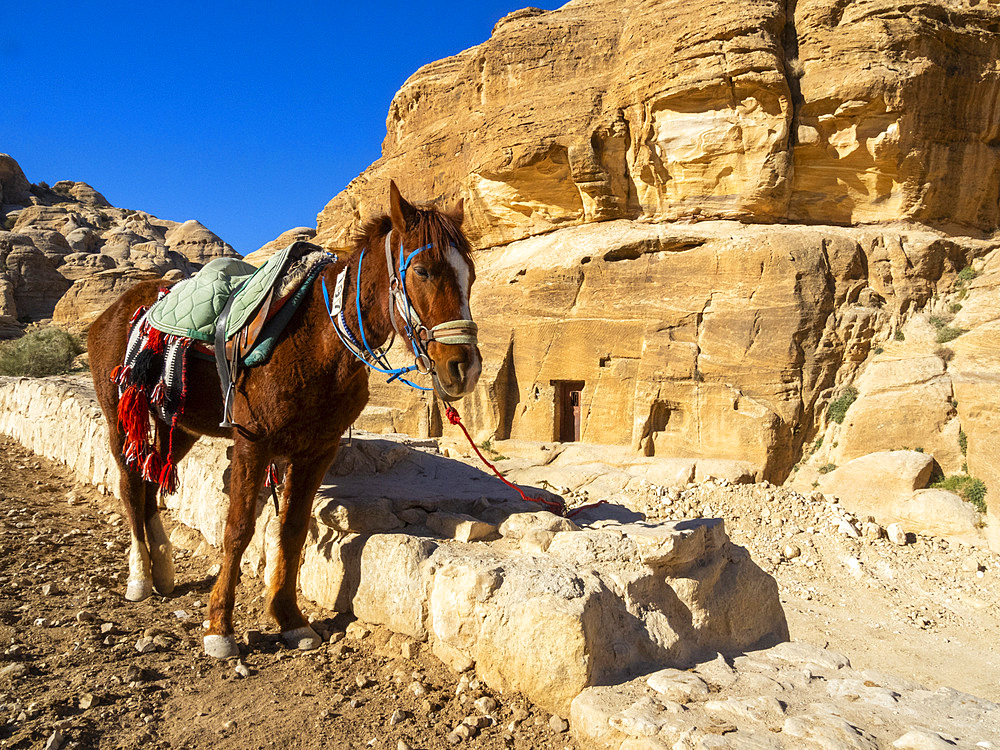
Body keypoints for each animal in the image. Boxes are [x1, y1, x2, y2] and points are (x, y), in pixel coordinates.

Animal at [90, 184, 480, 656]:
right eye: (422, 270)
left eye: (470, 275)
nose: (465, 368)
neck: (319, 341)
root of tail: (118, 309)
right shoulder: (252, 442)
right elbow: (238, 529)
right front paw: (219, 627)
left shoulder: (317, 450)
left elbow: (292, 530)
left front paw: (290, 619)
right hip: (118, 417)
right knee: (131, 486)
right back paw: (140, 576)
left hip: (177, 423)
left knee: (150, 481)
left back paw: (161, 568)